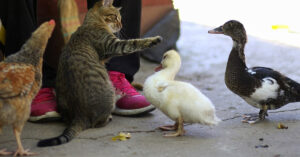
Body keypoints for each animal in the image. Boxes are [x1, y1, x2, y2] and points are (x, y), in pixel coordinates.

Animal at [37, 0, 162, 147]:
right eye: (115, 17)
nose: (121, 25)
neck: (92, 22)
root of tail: (79, 115)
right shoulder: (113, 45)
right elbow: (134, 42)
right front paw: (154, 39)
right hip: (109, 93)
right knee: (97, 123)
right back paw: (108, 117)